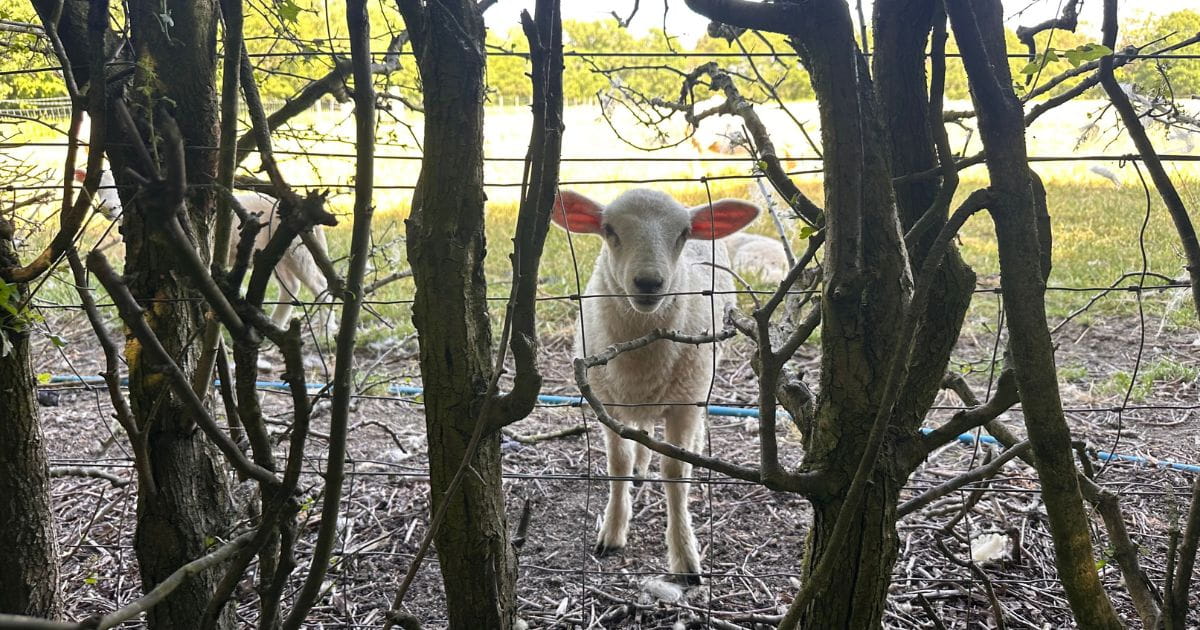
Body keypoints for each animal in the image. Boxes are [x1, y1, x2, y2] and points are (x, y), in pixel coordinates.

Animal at [75, 168, 332, 329]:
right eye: (99, 188)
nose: (108, 208)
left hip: (299, 251)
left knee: (319, 285)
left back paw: (326, 333)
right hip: (278, 254)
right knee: (291, 287)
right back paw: (276, 325)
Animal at [552, 188, 760, 584]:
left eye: (683, 233)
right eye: (609, 230)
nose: (649, 283)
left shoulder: (683, 406)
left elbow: (675, 475)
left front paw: (685, 557)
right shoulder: (608, 405)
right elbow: (617, 463)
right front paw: (612, 532)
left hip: (700, 381)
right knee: (642, 432)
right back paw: (639, 467)